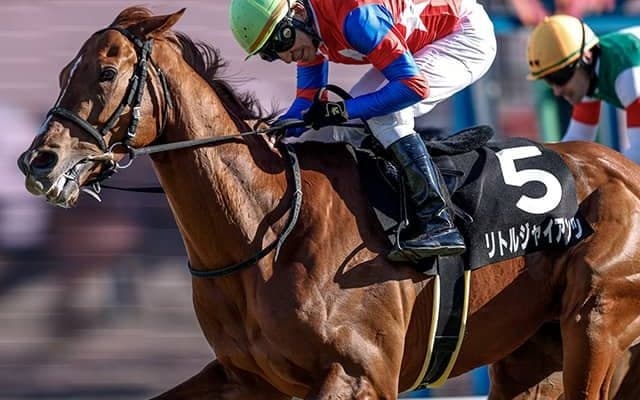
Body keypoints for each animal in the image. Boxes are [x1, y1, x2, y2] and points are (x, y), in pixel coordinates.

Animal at [17, 7, 640, 399]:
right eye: (64, 71)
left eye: (105, 72)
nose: (37, 162)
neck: (269, 232)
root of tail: (621, 169)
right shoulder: (245, 378)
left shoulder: (359, 376)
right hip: (531, 358)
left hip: (594, 327)